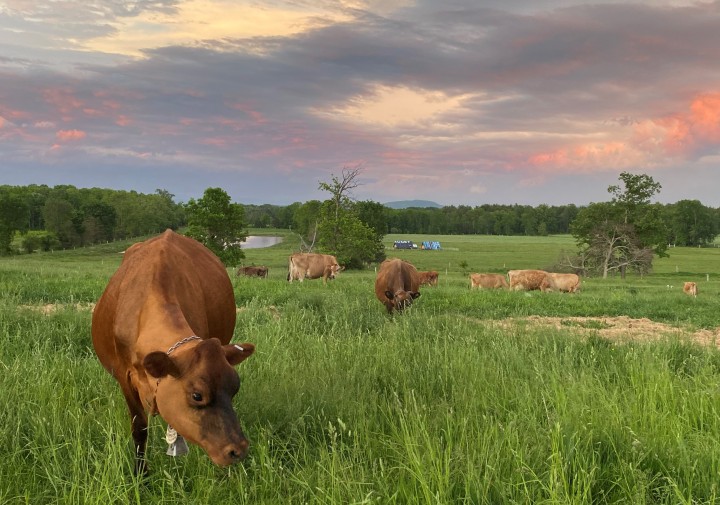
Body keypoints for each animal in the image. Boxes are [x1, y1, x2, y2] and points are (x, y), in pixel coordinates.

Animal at [91, 230, 256, 474]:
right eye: (197, 395)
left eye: (235, 388)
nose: (238, 450)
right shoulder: (125, 378)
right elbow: (139, 428)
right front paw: (141, 473)